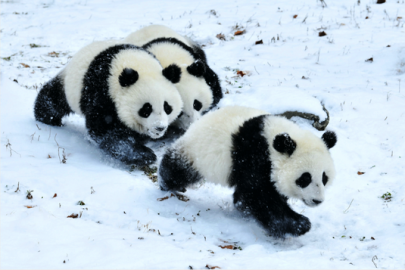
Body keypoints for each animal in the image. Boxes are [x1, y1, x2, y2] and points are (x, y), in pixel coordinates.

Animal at [34, 41, 183, 166]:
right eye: (146, 109)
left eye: (167, 107)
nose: (160, 128)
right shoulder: (102, 91)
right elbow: (105, 130)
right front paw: (143, 155)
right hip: (71, 86)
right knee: (54, 99)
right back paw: (47, 118)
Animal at [158, 106, 338, 237]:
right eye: (305, 178)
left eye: (324, 178)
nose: (317, 200)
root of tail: (195, 124)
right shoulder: (255, 157)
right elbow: (260, 196)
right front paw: (299, 223)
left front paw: (243, 208)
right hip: (197, 153)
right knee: (178, 168)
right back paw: (167, 184)